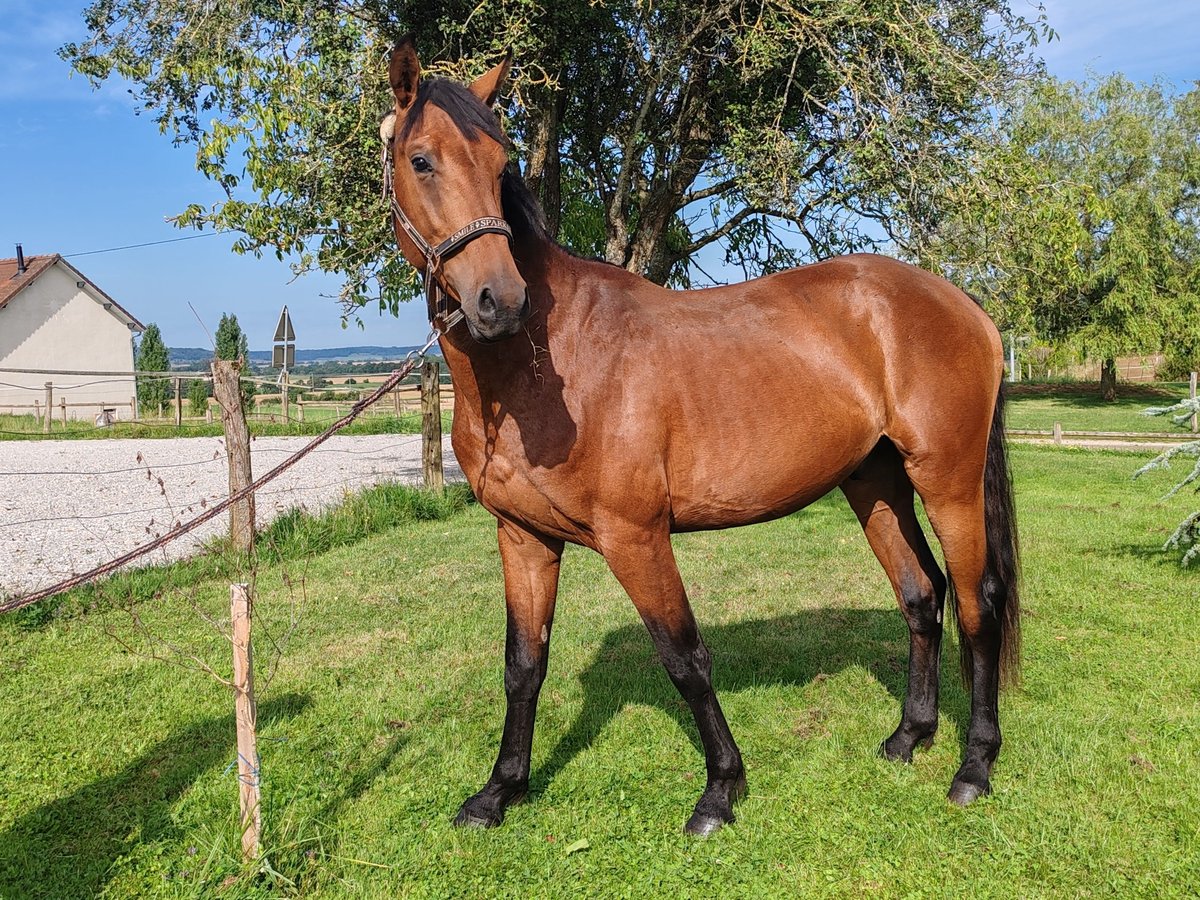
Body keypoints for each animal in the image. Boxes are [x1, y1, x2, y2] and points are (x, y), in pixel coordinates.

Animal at [379, 37, 1017, 840]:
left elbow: (684, 658)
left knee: (978, 603)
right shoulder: (522, 537)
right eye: (422, 160)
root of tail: (965, 306)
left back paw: (975, 766)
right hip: (874, 481)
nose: (502, 300)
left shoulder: (636, 536)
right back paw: (909, 737)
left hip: (948, 480)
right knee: (921, 594)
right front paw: (499, 792)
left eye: (500, 165)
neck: (542, 367)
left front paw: (720, 791)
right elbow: (523, 665)